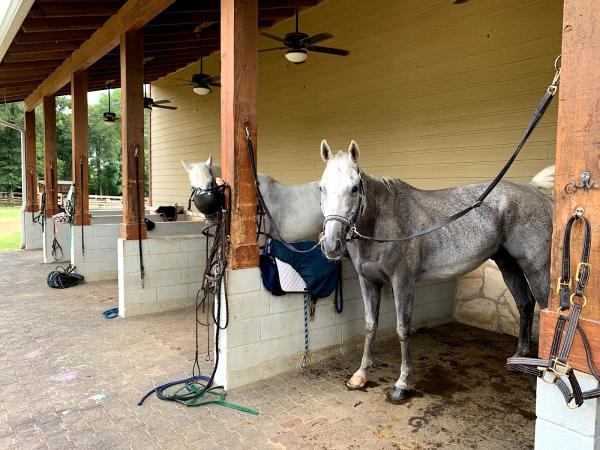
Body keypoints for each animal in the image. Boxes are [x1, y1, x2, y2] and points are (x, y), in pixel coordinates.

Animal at [318, 139, 552, 402]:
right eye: (321, 188)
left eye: (355, 187)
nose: (331, 245)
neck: (384, 222)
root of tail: (535, 191)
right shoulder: (368, 281)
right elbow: (370, 325)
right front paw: (360, 375)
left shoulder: (402, 282)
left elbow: (403, 329)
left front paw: (401, 384)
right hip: (508, 264)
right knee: (525, 303)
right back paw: (519, 358)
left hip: (536, 268)